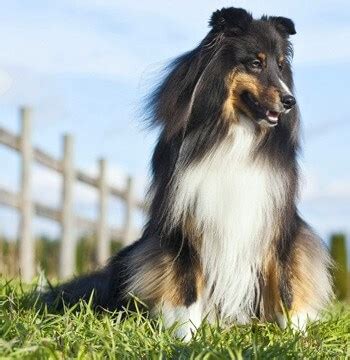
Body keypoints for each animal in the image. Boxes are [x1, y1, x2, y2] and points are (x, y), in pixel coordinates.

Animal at [45, 7, 332, 340]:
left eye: (281, 65)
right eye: (255, 63)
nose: (289, 101)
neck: (235, 134)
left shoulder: (278, 221)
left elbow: (286, 283)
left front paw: (296, 338)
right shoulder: (183, 220)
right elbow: (185, 286)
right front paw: (187, 339)